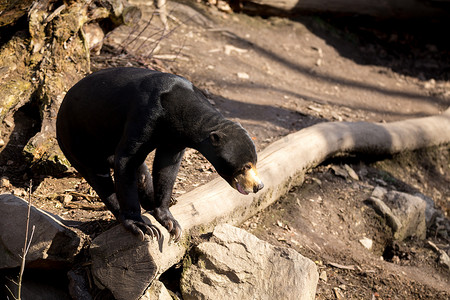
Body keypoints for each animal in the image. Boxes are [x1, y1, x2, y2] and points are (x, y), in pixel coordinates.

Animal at [58, 67, 266, 241]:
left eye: (255, 163)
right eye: (245, 166)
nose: (259, 186)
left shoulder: (174, 140)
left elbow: (166, 169)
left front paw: (170, 221)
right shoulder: (144, 116)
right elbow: (126, 160)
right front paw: (141, 226)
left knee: (140, 173)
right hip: (77, 141)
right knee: (100, 178)